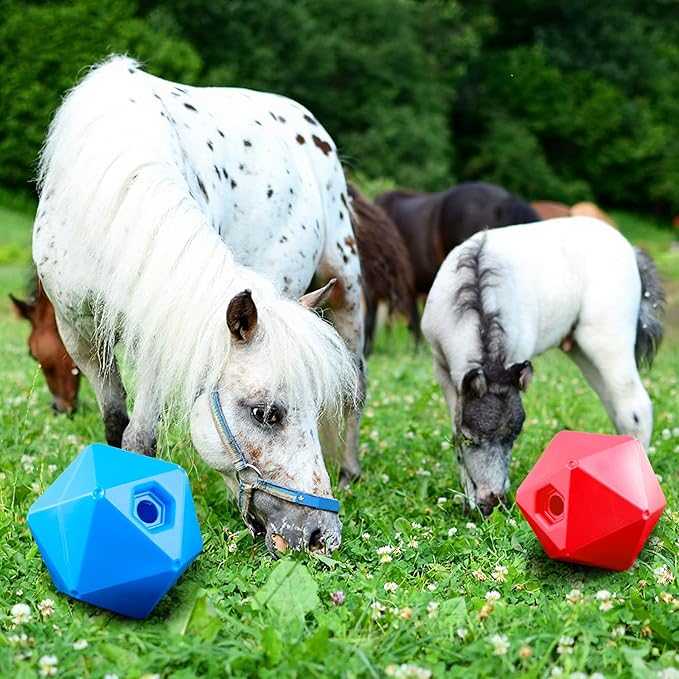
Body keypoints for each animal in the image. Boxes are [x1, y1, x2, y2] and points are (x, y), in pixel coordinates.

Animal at [33, 56, 365, 555]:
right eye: (266, 414)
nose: (320, 535)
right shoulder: (81, 337)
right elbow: (115, 425)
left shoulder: (158, 334)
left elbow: (140, 438)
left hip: (346, 289)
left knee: (357, 390)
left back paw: (349, 471)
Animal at [421, 216, 664, 516]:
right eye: (472, 438)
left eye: (515, 437)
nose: (493, 502)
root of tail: (631, 249)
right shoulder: (442, 368)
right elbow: (455, 429)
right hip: (582, 349)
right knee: (616, 406)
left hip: (607, 340)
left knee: (634, 406)